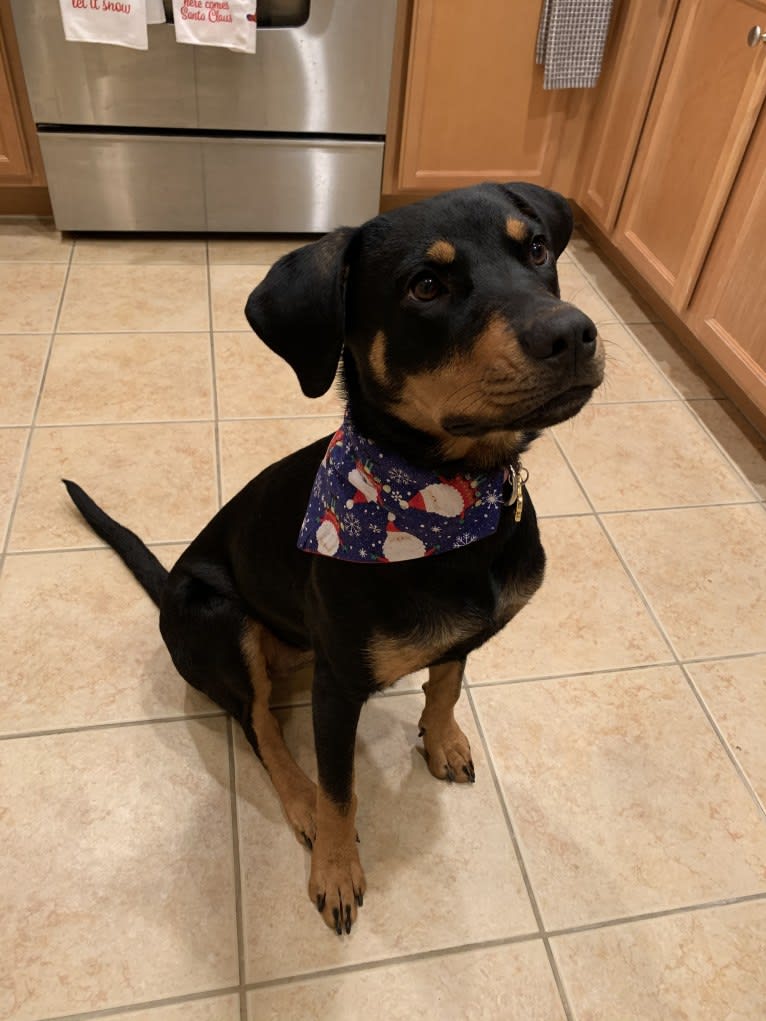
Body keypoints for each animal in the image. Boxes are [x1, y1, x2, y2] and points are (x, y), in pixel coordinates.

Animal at [65, 181, 604, 935]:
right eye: (426, 284)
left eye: (535, 249)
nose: (574, 333)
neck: (451, 500)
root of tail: (169, 584)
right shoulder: (338, 686)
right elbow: (339, 785)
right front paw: (338, 869)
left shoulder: (458, 636)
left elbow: (447, 681)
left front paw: (443, 740)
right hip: (216, 612)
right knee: (258, 722)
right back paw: (300, 804)